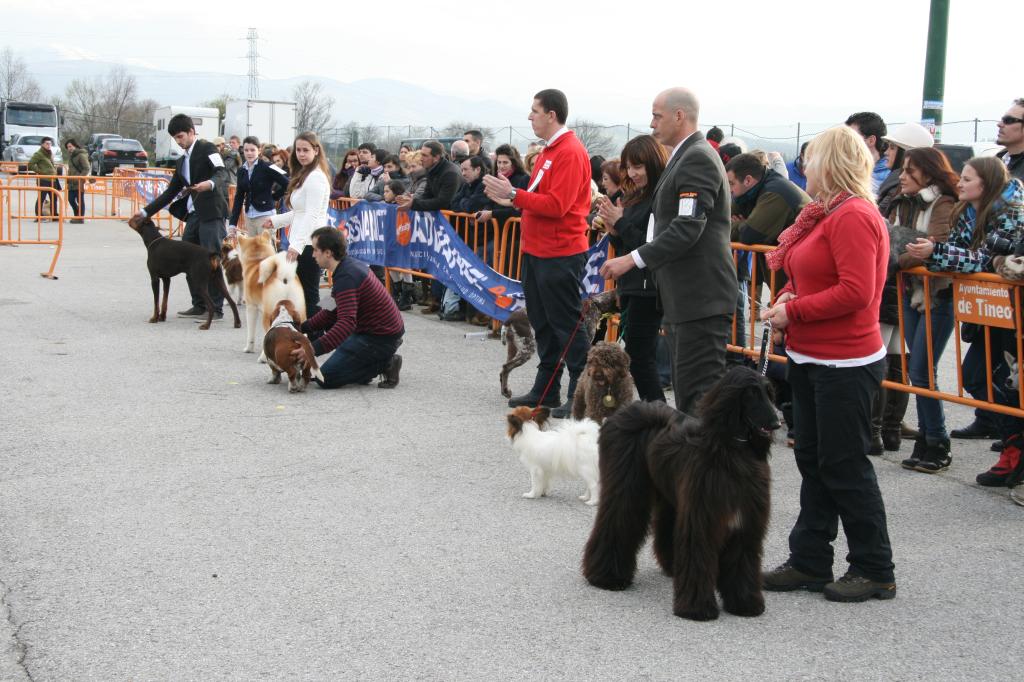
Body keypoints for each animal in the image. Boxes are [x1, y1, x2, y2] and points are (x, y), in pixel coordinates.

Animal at [582, 366, 780, 621]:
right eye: (751, 394)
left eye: (769, 393)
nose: (776, 423)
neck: (731, 453)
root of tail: (624, 410)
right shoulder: (703, 518)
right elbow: (698, 554)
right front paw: (697, 608)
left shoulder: (746, 523)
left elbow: (742, 560)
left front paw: (745, 603)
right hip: (627, 486)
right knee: (617, 519)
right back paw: (607, 576)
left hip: (670, 493)